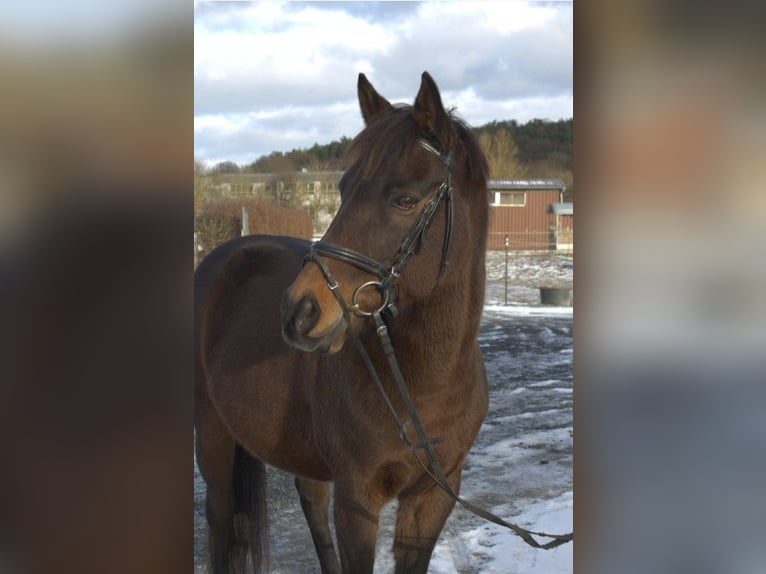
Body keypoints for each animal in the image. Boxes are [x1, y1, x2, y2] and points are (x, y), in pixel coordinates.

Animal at [196, 73, 492, 574]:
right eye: (342, 189)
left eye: (404, 199)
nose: (299, 311)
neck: (423, 381)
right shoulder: (357, 501)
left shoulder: (434, 498)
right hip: (213, 436)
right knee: (220, 522)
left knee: (310, 504)